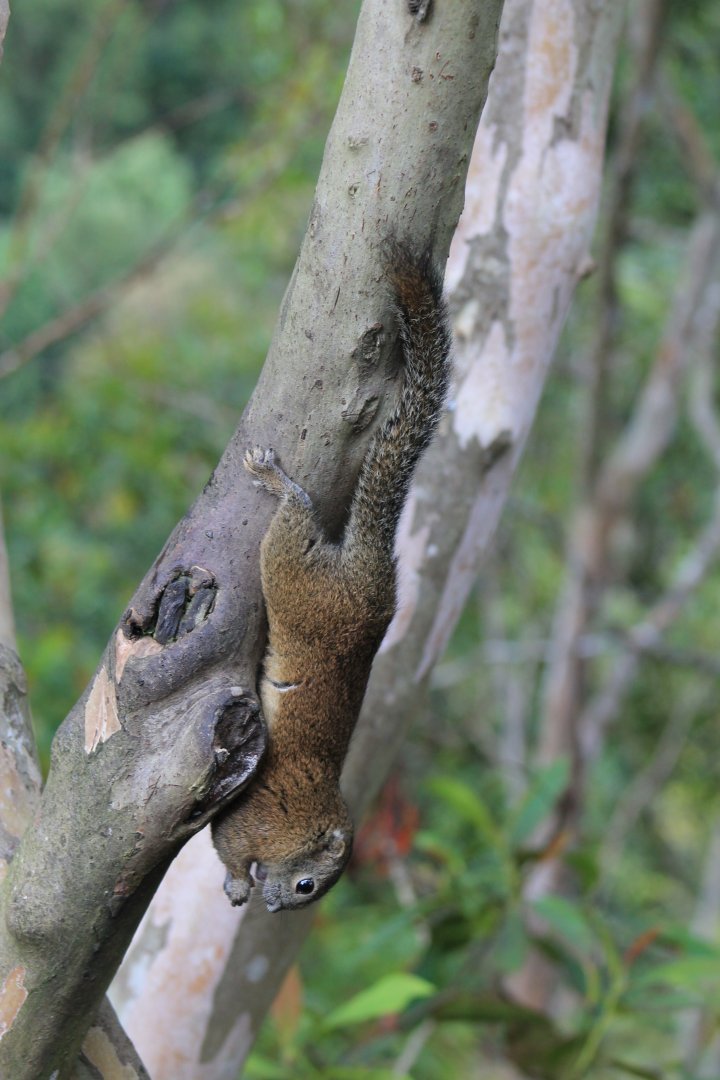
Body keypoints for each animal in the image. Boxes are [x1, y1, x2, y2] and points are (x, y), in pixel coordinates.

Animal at [212, 242, 452, 913]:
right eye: (306, 884)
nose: (274, 906)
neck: (306, 819)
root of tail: (375, 576)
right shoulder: (253, 822)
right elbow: (229, 848)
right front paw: (238, 885)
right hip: (294, 573)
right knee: (294, 517)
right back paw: (273, 479)